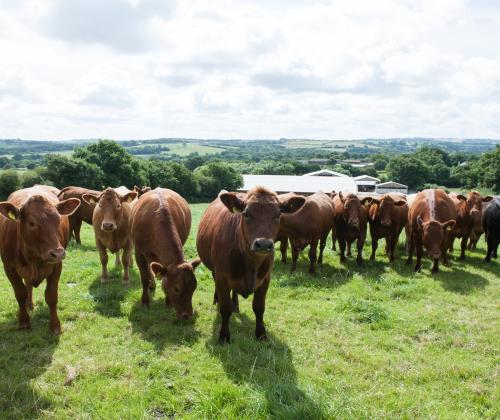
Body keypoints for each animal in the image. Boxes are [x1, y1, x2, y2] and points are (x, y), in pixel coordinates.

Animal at [0, 185, 80, 334]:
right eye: (31, 223)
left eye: (58, 219)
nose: (58, 253)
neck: (34, 258)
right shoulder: (9, 268)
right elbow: (20, 293)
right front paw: (24, 321)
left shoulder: (57, 267)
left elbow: (51, 296)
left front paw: (55, 326)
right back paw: (29, 305)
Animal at [131, 187, 201, 318]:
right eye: (176, 289)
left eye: (194, 287)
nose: (187, 315)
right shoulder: (139, 252)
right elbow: (144, 278)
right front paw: (145, 302)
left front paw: (168, 302)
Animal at [196, 188, 304, 344]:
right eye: (246, 214)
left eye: (278, 215)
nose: (263, 244)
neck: (251, 264)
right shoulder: (222, 277)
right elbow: (225, 308)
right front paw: (224, 336)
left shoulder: (266, 279)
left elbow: (259, 307)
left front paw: (261, 334)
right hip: (214, 270)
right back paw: (217, 299)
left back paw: (236, 305)